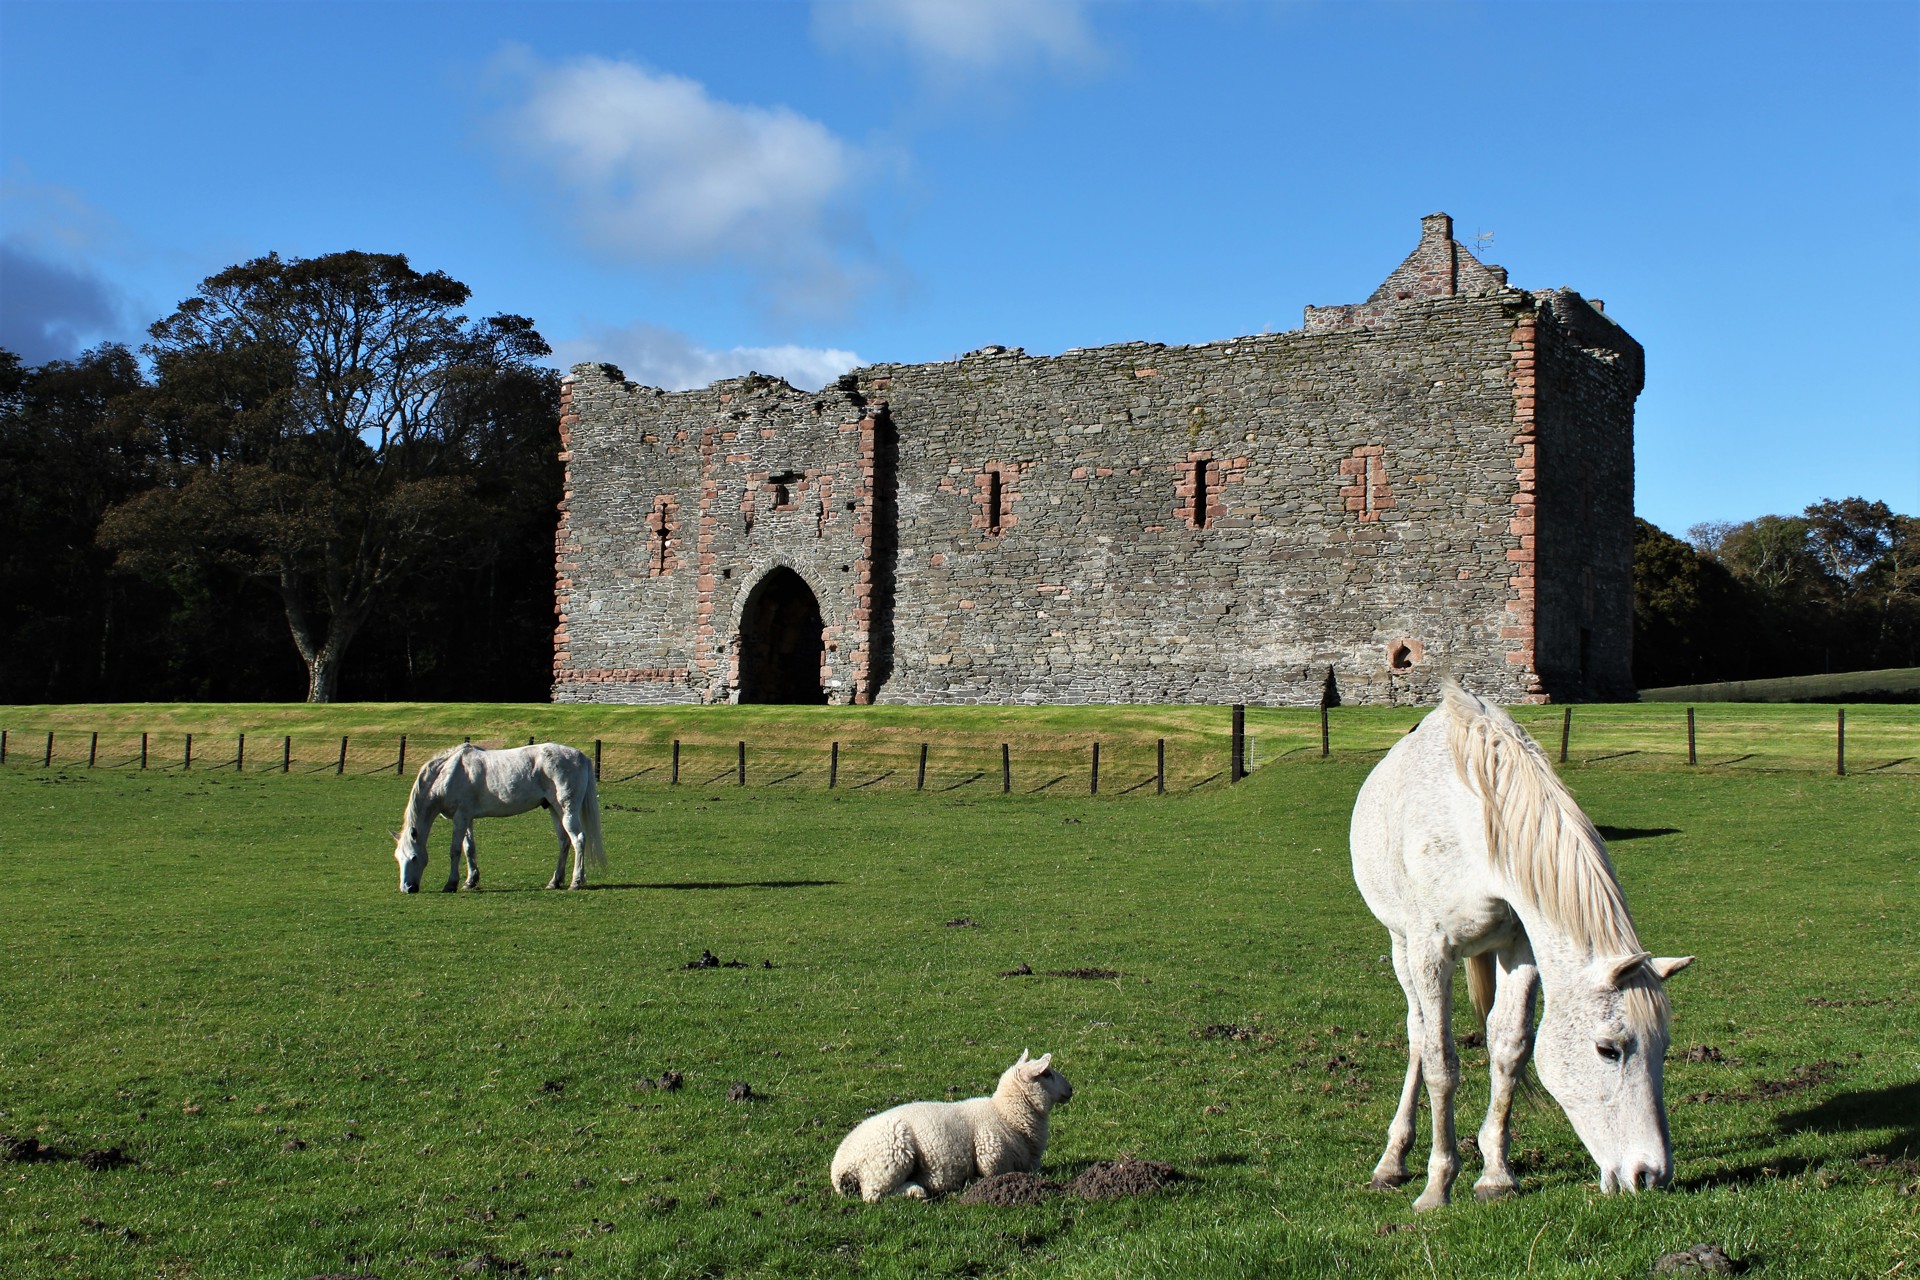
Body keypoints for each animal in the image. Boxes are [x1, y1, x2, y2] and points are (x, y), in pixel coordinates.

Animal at [387, 744, 599, 898]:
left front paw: (451, 883)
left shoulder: (460, 817)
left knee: (579, 839)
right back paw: (555, 881)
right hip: (555, 810)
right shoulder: (467, 818)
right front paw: (470, 881)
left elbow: (455, 850)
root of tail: (580, 755)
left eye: (414, 857)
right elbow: (469, 848)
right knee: (564, 842)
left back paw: (576, 882)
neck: (447, 773)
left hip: (567, 810)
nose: (407, 888)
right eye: (397, 858)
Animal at [829, 1051, 1075, 1205]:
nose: (1071, 1089)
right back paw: (916, 1191)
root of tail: (839, 1165)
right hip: (891, 1155)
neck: (1006, 1115)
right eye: (1047, 1074)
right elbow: (993, 1174)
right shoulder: (991, 1158)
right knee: (874, 1194)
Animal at [1351, 687, 1697, 1205]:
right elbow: (1440, 1061)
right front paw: (1438, 1184)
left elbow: (1510, 1047)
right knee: (1417, 1032)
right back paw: (1392, 1161)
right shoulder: (1430, 950)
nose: (1650, 1175)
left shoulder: (1522, 948)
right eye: (1608, 1049)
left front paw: (1496, 1175)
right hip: (1400, 945)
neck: (1473, 825)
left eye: (1664, 1047)